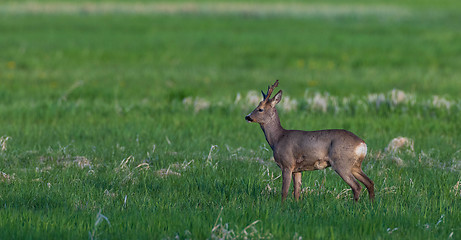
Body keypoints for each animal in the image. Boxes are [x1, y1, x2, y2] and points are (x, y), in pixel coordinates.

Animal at [244, 81, 374, 202]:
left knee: (357, 186)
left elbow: (284, 191)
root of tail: (362, 144)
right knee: (370, 182)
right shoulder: (297, 169)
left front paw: (281, 207)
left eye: (260, 109)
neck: (278, 138)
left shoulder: (287, 164)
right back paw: (371, 204)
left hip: (342, 163)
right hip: (355, 165)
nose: (247, 117)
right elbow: (297, 192)